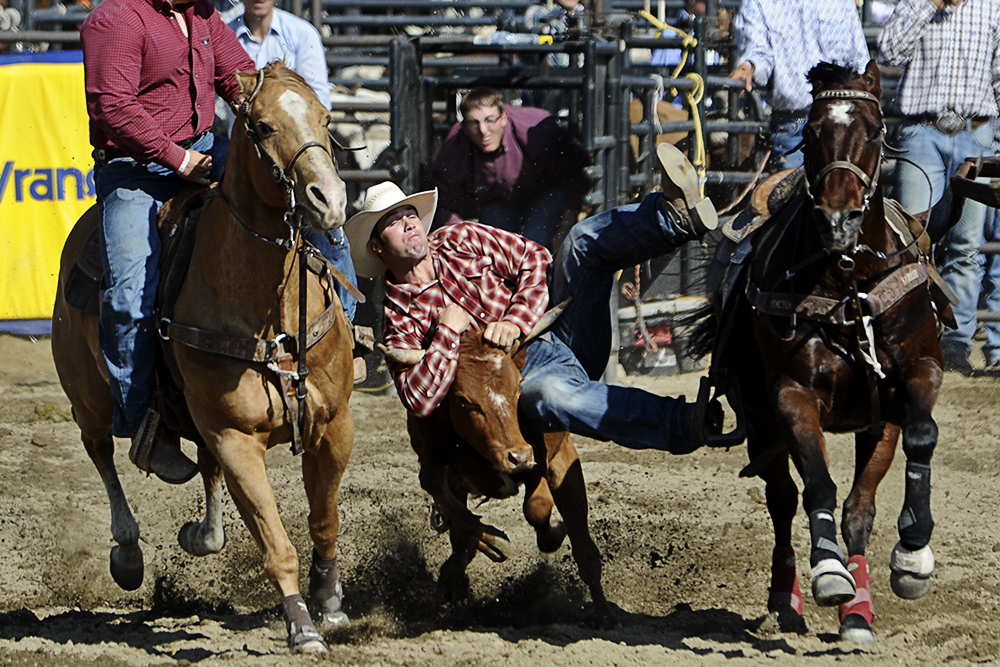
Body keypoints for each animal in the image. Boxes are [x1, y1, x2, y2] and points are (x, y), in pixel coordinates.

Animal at [52, 60, 356, 656]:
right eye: (261, 126)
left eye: (326, 118)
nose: (329, 199)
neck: (269, 310)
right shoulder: (235, 437)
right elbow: (276, 544)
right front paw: (302, 626)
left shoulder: (334, 425)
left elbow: (326, 520)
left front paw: (330, 603)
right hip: (90, 399)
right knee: (101, 451)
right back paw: (128, 552)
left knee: (204, 481)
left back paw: (199, 533)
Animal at [692, 61, 940, 640]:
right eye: (810, 133)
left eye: (873, 130)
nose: (837, 221)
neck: (849, 283)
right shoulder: (792, 396)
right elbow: (817, 487)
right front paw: (827, 571)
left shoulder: (920, 371)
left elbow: (921, 435)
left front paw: (913, 553)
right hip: (760, 418)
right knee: (784, 499)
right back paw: (788, 597)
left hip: (876, 423)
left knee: (860, 507)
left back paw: (859, 612)